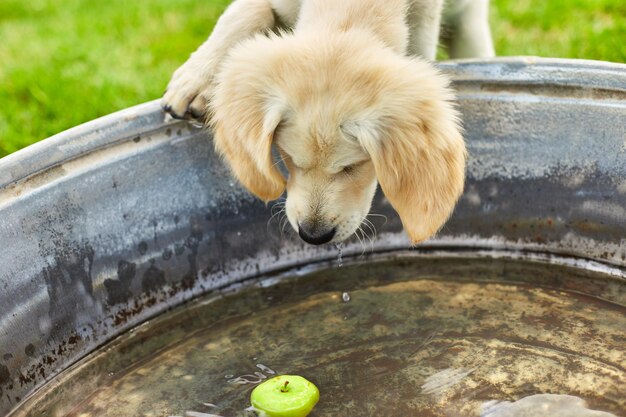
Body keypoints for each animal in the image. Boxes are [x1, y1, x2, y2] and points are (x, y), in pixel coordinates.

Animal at [161, 0, 492, 245]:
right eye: (287, 158)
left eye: (354, 166)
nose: (313, 236)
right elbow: (245, 11)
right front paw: (197, 77)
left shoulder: (425, 20)